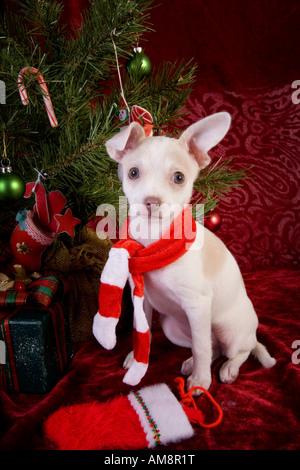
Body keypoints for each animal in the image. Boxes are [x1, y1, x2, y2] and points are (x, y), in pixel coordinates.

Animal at [104, 113, 276, 392]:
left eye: (178, 178)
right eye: (133, 173)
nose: (151, 202)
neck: (155, 242)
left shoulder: (197, 305)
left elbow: (201, 347)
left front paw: (201, 381)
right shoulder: (143, 298)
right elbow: (143, 330)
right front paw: (137, 355)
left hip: (230, 331)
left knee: (237, 350)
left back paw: (227, 368)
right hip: (172, 327)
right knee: (213, 347)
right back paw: (190, 362)